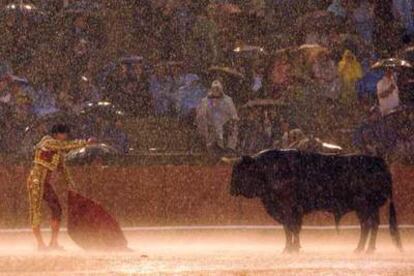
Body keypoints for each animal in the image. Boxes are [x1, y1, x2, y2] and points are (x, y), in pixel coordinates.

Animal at [228, 150, 402, 253]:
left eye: (239, 171)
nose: (231, 189)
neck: (267, 169)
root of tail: (379, 162)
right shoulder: (289, 211)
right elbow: (290, 228)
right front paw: (291, 248)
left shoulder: (288, 209)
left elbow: (291, 227)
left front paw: (291, 248)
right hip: (369, 208)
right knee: (373, 224)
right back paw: (368, 249)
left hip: (364, 206)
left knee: (367, 225)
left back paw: (360, 249)